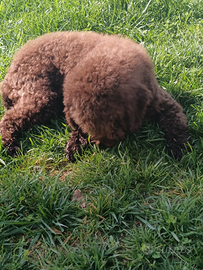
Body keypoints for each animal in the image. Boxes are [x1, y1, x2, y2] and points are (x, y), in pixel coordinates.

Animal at [0, 31, 190, 162]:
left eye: (115, 123)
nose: (103, 146)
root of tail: (8, 75)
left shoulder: (164, 104)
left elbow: (177, 126)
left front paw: (180, 149)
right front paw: (74, 146)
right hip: (41, 96)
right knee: (9, 119)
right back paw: (9, 145)